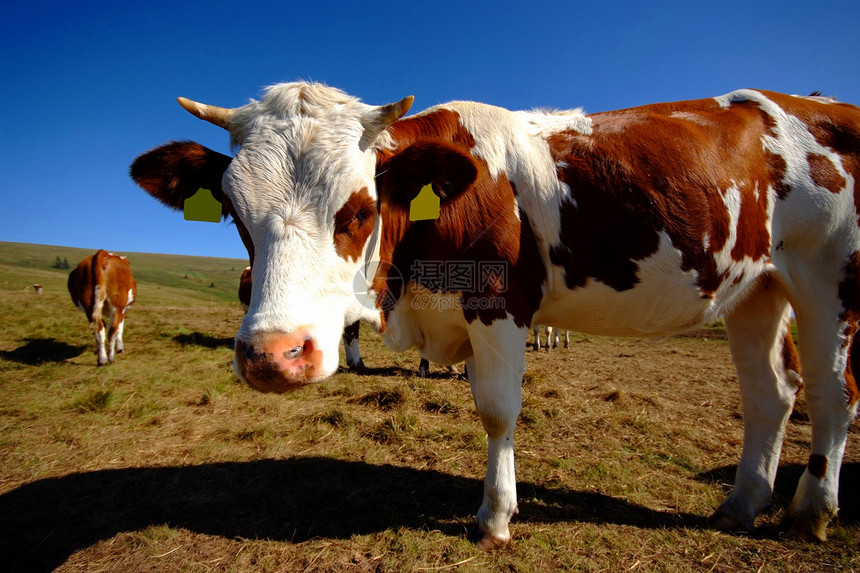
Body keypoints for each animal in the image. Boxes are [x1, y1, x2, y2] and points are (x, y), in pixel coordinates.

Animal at [129, 84, 860, 544]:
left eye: (359, 210)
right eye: (234, 213)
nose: (273, 356)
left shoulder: (500, 304)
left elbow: (498, 410)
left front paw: (496, 517)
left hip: (828, 274)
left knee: (833, 393)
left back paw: (812, 514)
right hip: (756, 288)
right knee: (772, 393)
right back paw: (742, 504)